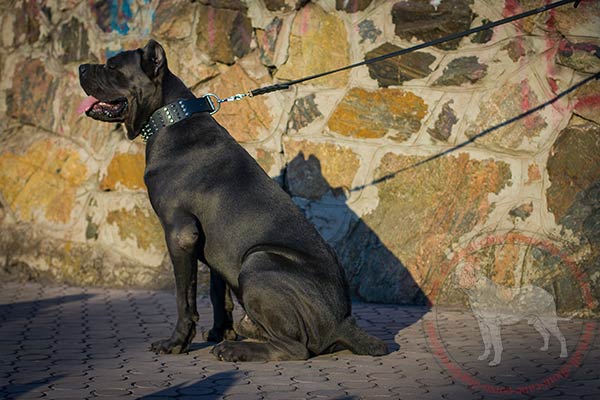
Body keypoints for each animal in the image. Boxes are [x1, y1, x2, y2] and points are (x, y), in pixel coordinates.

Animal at [78, 40, 390, 362]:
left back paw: (236, 349)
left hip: (258, 260)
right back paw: (244, 332)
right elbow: (218, 294)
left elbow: (184, 297)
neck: (170, 116)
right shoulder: (215, 245)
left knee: (294, 349)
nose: (82, 67)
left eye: (112, 66)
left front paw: (176, 343)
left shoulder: (180, 234)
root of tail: (343, 322)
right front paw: (220, 331)